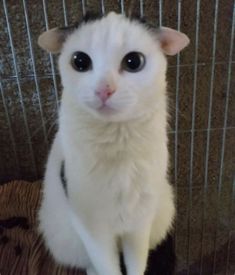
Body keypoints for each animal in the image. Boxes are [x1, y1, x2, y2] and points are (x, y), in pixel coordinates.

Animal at [38, 11, 189, 275]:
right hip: (64, 236)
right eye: (80, 61)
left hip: (163, 209)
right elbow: (107, 266)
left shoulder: (140, 223)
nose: (104, 90)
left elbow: (137, 263)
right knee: (90, 262)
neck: (118, 143)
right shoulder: (92, 228)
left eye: (133, 62)